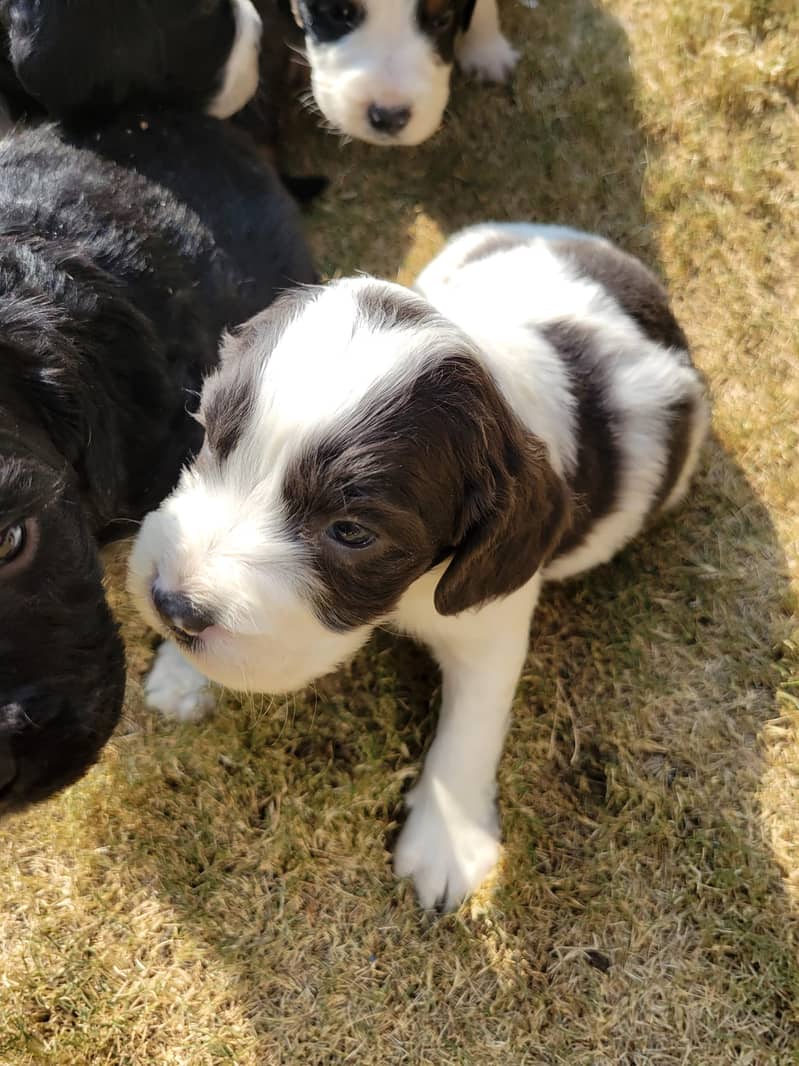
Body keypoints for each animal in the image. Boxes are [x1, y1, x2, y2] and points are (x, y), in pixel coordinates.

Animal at [128, 222, 711, 908]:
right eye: (210, 440)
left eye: (351, 532)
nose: (173, 605)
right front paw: (179, 670)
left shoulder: (491, 619)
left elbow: (473, 725)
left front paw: (447, 842)